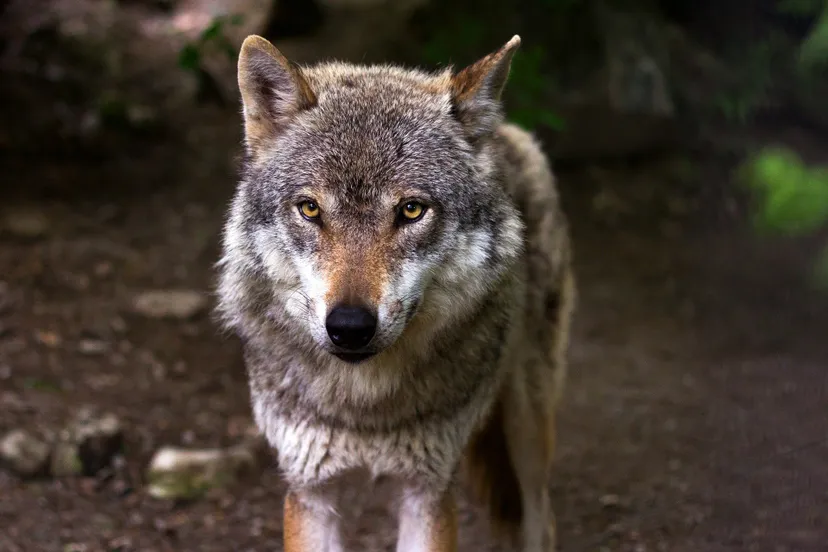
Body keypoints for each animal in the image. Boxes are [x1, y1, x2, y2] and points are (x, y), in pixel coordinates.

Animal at [216, 32, 575, 552]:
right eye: (310, 209)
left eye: (410, 210)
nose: (349, 327)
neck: (364, 407)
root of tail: (506, 132)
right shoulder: (309, 490)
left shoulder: (427, 491)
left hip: (527, 428)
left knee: (541, 518)